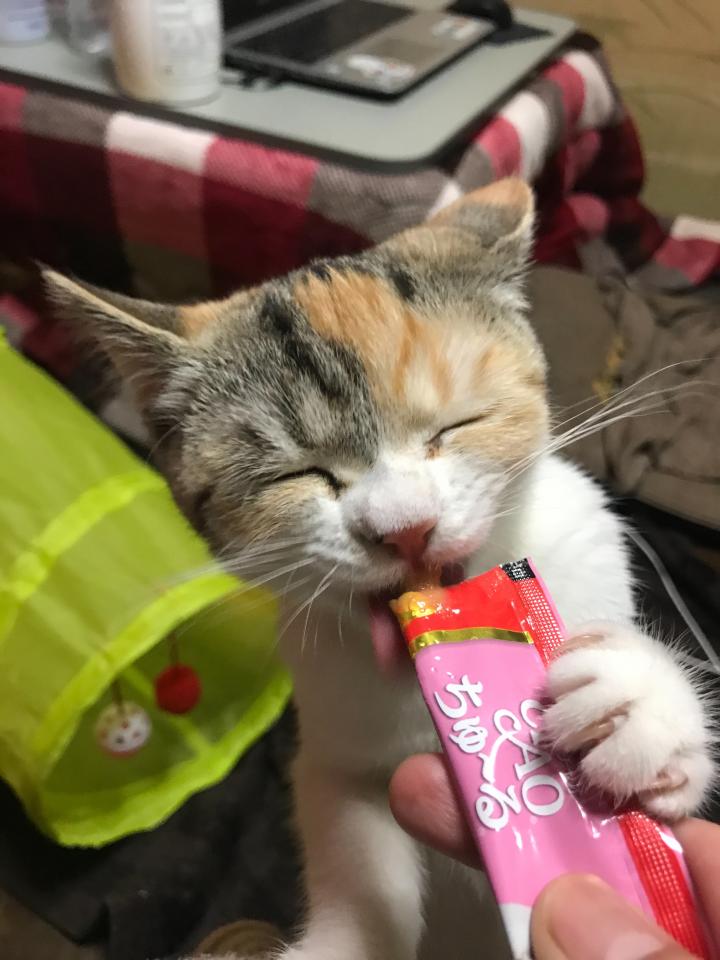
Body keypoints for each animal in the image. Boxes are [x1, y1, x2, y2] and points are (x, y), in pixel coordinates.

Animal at [44, 178, 713, 960]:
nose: (405, 528)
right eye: (300, 474)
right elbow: (352, 839)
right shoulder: (334, 755)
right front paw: (341, 940)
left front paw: (638, 703)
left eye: (454, 427)